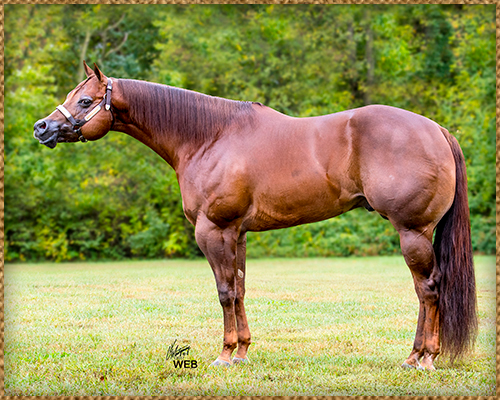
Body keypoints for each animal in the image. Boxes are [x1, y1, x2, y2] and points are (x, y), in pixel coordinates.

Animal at [33, 61, 474, 370]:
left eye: (85, 101)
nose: (42, 128)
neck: (208, 137)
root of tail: (436, 130)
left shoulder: (213, 230)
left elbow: (225, 291)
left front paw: (225, 355)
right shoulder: (237, 233)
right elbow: (241, 288)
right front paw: (243, 351)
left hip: (412, 231)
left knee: (428, 290)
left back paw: (424, 358)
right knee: (425, 291)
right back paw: (414, 356)